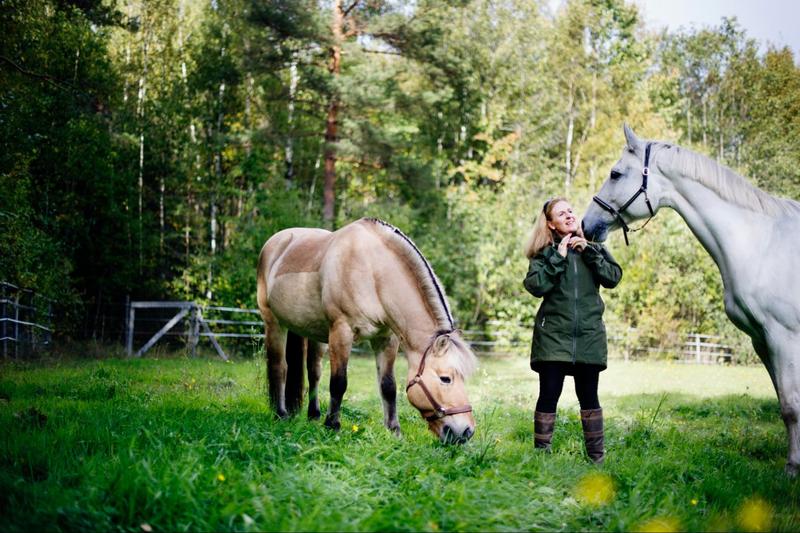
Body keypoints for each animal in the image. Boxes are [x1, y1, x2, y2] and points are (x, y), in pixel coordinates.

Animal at [256, 217, 476, 444]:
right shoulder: (341, 332)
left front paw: (394, 431)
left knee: (314, 371)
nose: (466, 432)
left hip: (314, 333)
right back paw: (280, 414)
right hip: (274, 323)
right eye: (445, 378)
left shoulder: (386, 339)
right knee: (279, 367)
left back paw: (313, 416)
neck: (373, 271)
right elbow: (338, 382)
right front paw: (332, 426)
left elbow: (388, 386)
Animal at [580, 124, 800, 474]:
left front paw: (793, 467)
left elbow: (791, 404)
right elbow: (784, 401)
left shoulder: (785, 337)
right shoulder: (762, 340)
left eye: (615, 174)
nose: (587, 224)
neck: (762, 244)